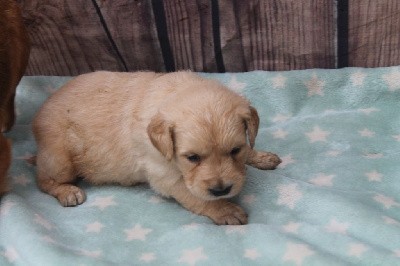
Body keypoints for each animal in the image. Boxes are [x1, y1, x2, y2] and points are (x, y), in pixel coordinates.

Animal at [32, 71, 280, 224]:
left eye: (235, 150)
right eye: (192, 157)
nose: (221, 190)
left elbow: (249, 148)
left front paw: (260, 156)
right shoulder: (164, 175)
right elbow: (197, 198)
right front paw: (225, 209)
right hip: (60, 159)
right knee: (42, 180)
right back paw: (67, 192)